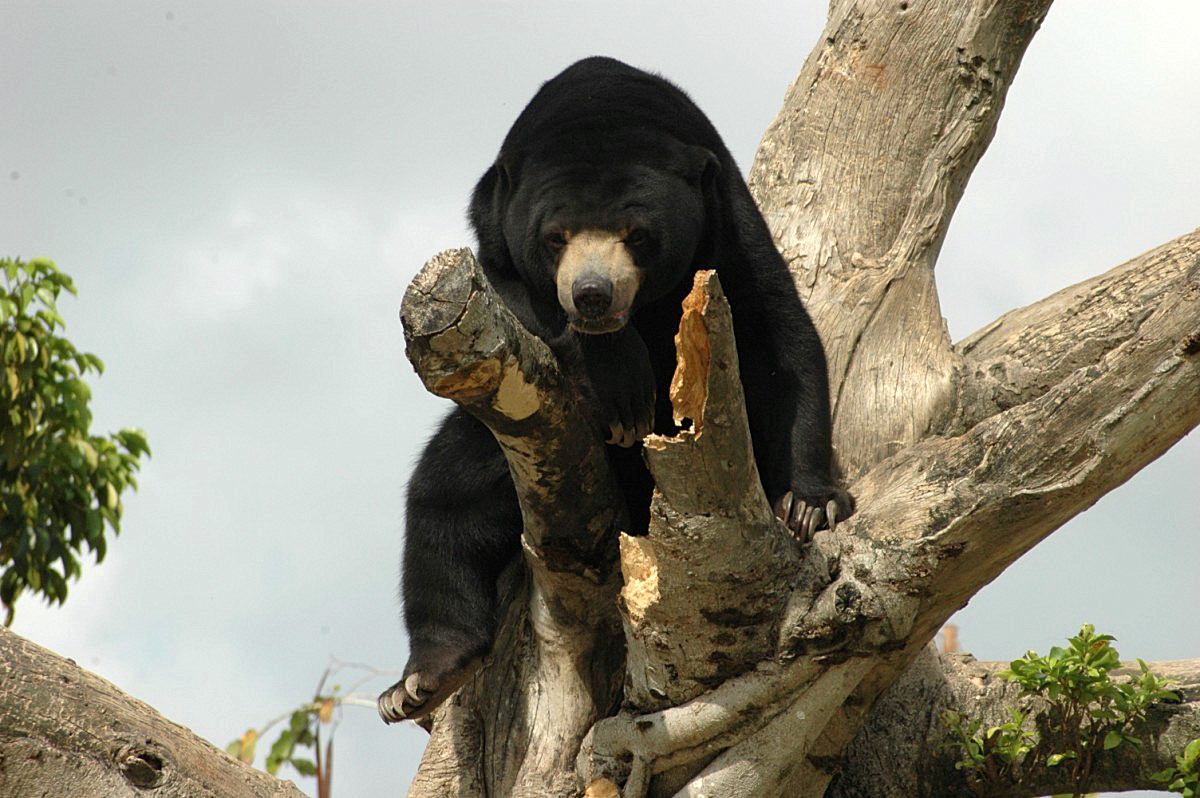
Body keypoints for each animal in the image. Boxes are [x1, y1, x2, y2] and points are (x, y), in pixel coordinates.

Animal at [378, 56, 854, 724]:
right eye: (555, 235)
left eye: (637, 233)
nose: (592, 295)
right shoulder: (490, 232)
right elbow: (507, 293)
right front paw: (622, 382)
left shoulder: (729, 229)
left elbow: (780, 339)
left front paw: (811, 504)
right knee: (445, 503)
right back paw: (421, 678)